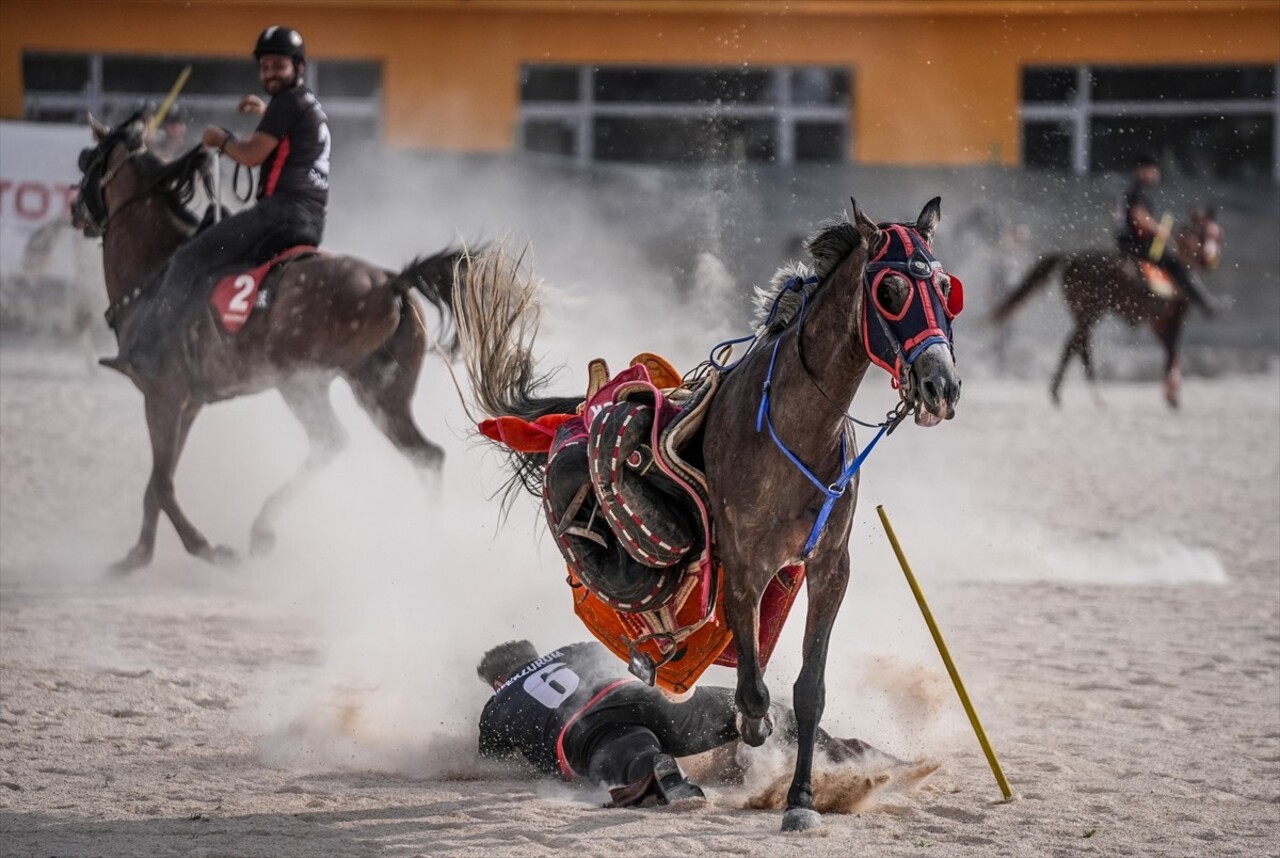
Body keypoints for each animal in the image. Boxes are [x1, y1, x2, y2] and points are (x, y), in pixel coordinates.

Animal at [73, 112, 471, 571]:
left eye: (88, 160)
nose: (75, 209)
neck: (156, 268)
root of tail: (392, 282)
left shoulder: (163, 397)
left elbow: (161, 482)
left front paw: (206, 548)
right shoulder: (186, 404)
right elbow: (159, 480)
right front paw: (136, 557)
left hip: (300, 381)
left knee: (332, 441)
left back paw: (263, 530)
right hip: (382, 393)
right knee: (426, 455)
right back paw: (431, 545)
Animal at [450, 202, 962, 834]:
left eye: (945, 288)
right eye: (890, 290)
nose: (941, 384)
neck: (794, 430)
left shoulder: (828, 568)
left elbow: (809, 691)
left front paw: (801, 798)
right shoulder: (743, 568)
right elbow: (754, 691)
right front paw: (757, 732)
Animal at [988, 208, 1218, 409]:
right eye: (1210, 232)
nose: (1211, 260)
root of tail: (1071, 257)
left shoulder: (1158, 324)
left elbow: (1173, 355)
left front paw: (1171, 395)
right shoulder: (1171, 319)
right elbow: (1174, 355)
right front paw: (1171, 395)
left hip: (1087, 313)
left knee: (1075, 345)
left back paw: (1064, 394)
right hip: (1092, 311)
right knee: (1078, 347)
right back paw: (1089, 395)